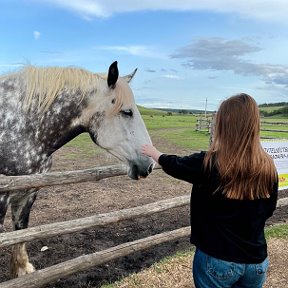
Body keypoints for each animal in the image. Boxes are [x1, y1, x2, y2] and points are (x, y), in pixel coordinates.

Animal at [0, 61, 154, 280]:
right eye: (127, 112)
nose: (149, 164)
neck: (21, 129)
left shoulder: (27, 193)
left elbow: (20, 233)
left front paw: (22, 270)